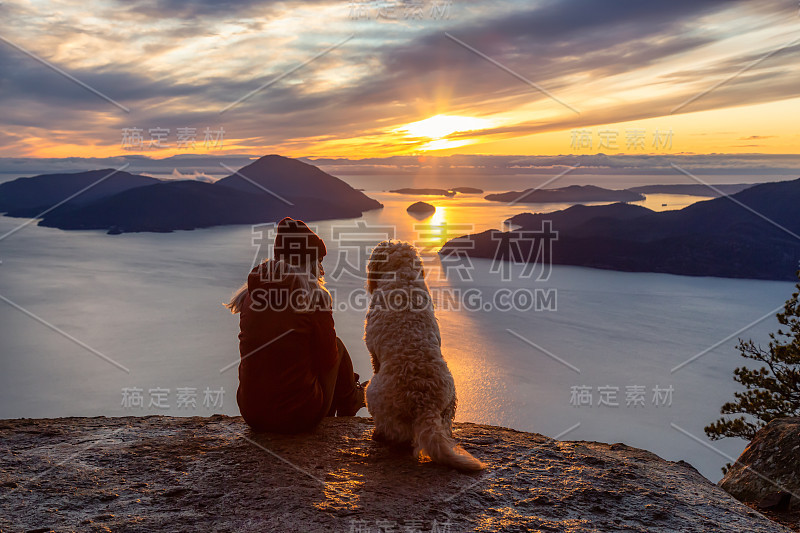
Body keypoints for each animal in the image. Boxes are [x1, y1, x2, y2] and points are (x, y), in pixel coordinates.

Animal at [366, 240, 484, 470]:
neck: (403, 276)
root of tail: (424, 404)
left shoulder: (373, 352)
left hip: (372, 394)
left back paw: (380, 435)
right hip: (450, 402)